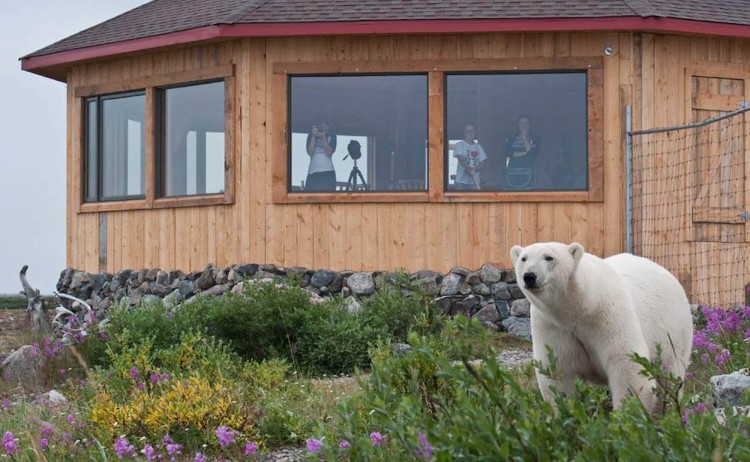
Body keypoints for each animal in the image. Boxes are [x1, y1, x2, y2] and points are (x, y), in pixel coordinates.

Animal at [509, 242, 693, 414]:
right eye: (524, 258)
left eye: (549, 257)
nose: (529, 276)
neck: (580, 305)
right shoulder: (552, 325)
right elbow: (558, 370)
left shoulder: (607, 314)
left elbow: (626, 363)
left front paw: (625, 414)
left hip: (673, 330)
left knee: (670, 373)